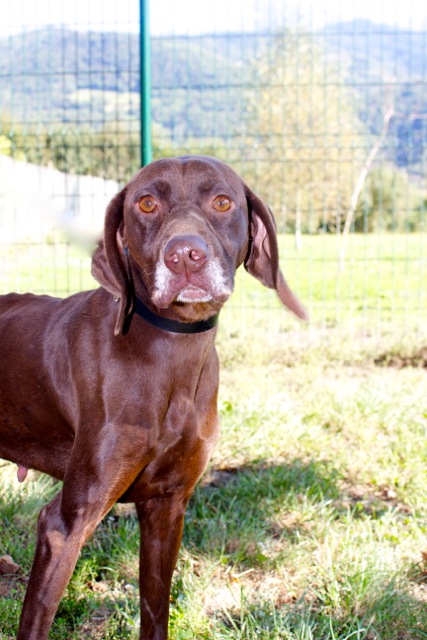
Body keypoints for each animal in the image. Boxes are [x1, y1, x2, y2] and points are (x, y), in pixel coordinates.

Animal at [0, 156, 308, 640]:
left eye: (222, 201)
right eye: (146, 203)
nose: (185, 255)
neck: (169, 350)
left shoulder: (167, 507)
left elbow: (155, 610)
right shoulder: (64, 525)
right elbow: (36, 619)